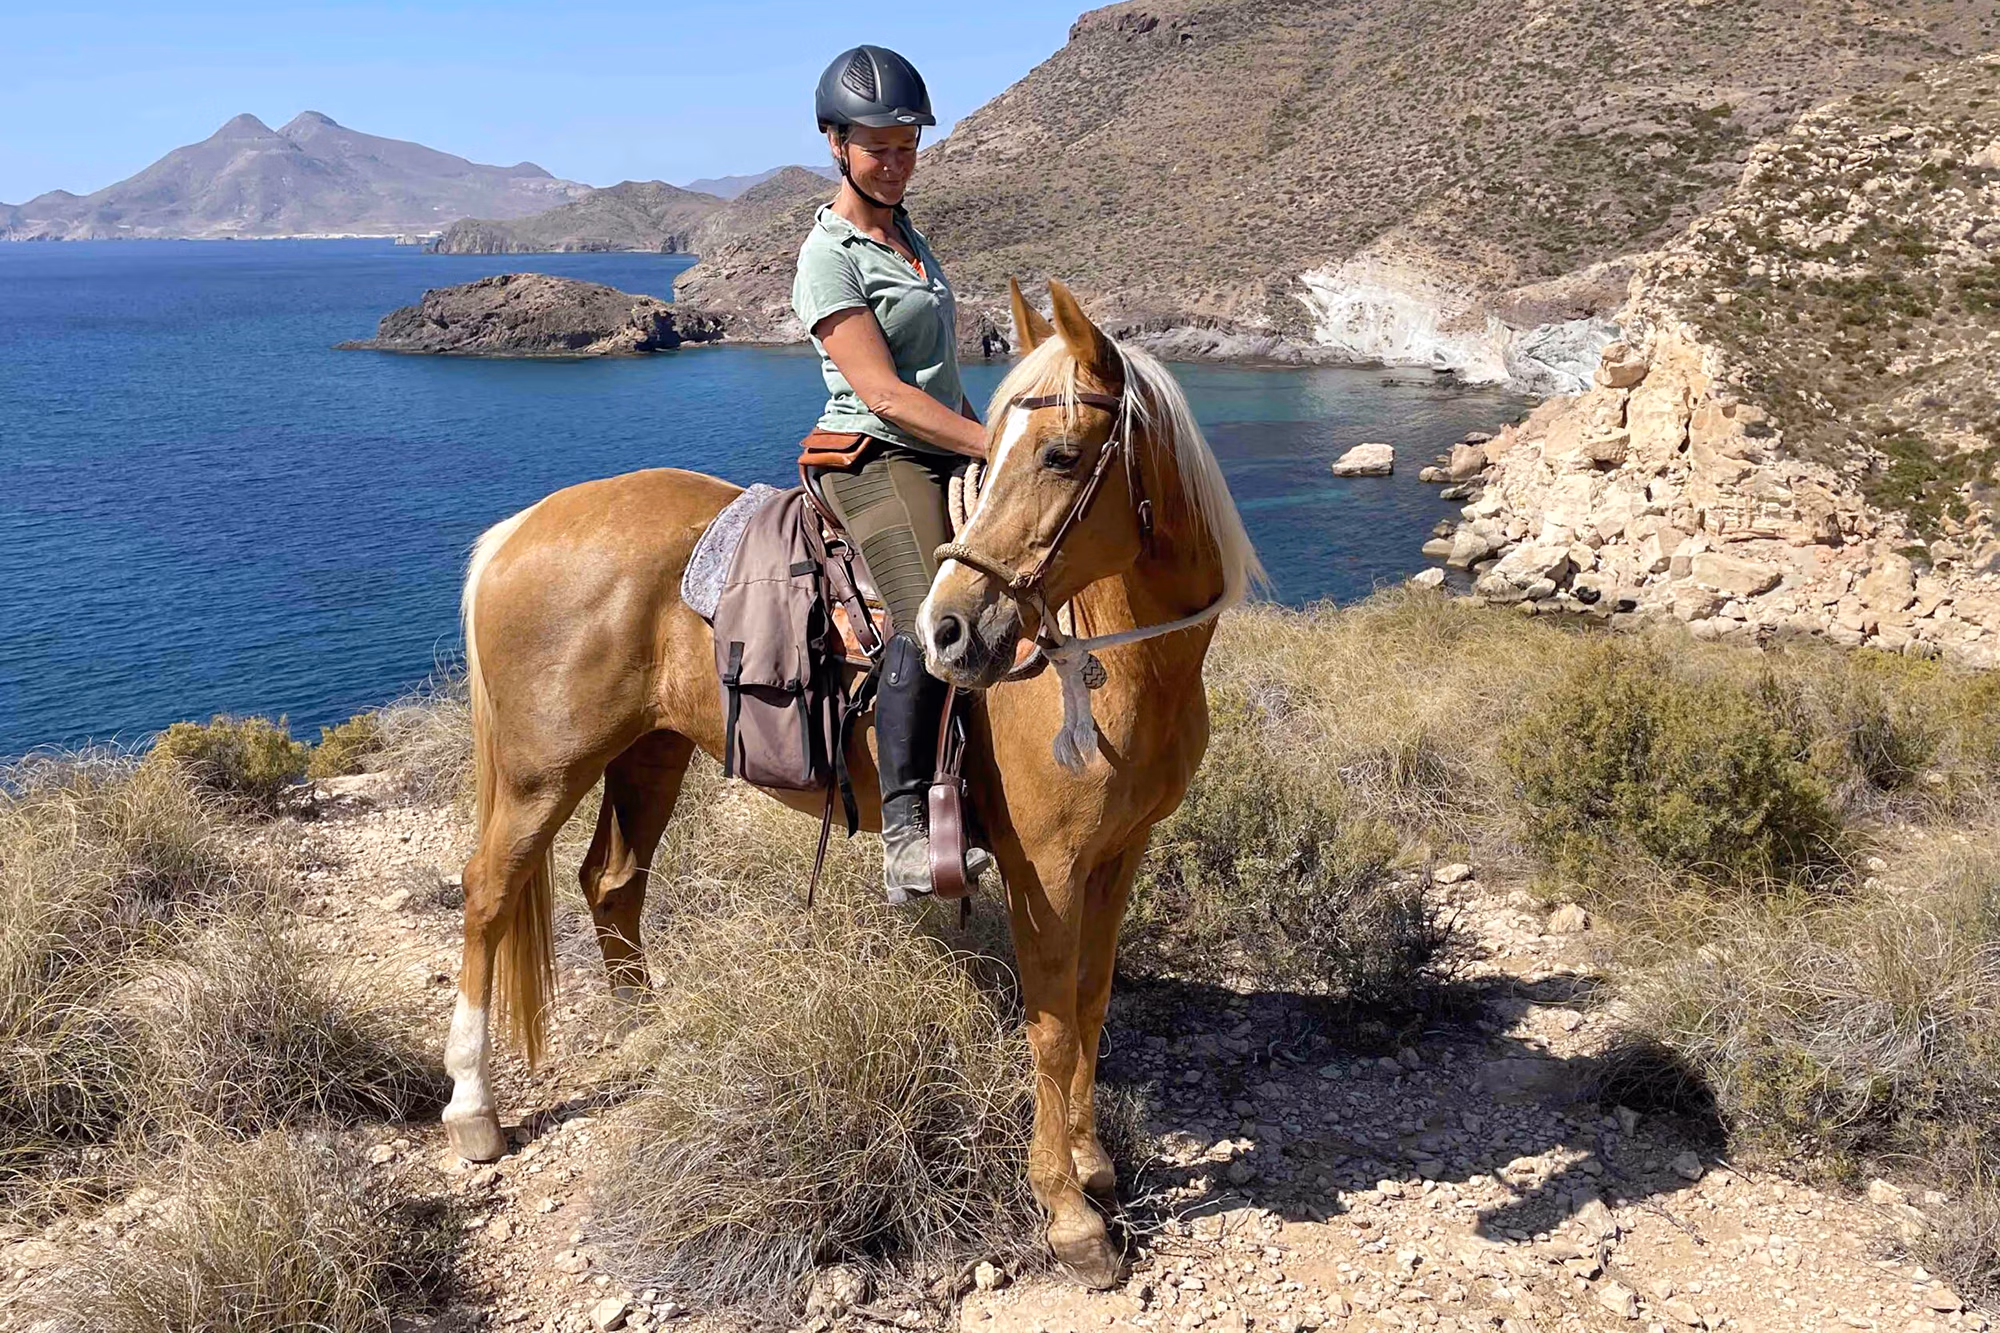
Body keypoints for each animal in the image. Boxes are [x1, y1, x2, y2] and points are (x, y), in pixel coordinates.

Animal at [443, 278, 1263, 1287]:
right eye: (1010, 451)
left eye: (1063, 453)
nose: (950, 628)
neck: (1119, 658)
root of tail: (520, 529)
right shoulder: (1047, 869)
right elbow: (1052, 1022)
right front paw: (1069, 1213)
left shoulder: (1120, 854)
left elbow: (1093, 1000)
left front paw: (1094, 1159)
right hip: (541, 773)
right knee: (489, 893)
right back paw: (474, 1108)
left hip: (650, 753)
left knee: (612, 881)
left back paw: (655, 1034)